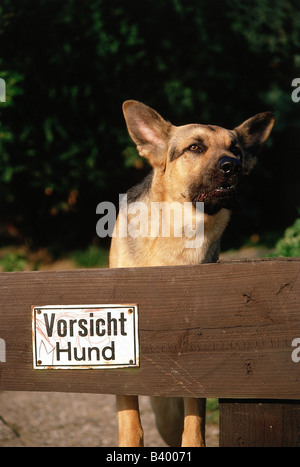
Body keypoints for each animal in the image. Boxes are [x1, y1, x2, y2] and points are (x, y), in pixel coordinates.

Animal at [109, 100, 276, 448]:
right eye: (195, 147)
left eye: (235, 150)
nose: (232, 166)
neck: (180, 231)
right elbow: (128, 410)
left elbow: (195, 412)